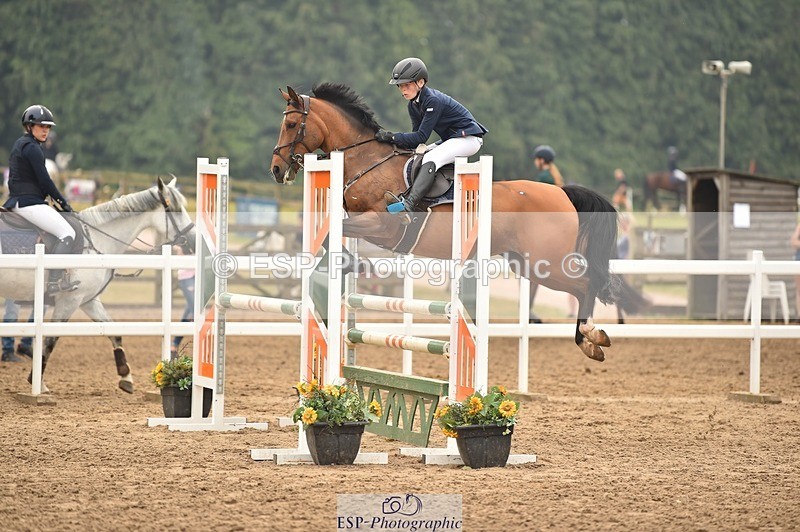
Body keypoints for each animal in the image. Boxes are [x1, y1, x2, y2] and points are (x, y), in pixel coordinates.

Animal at [0, 178, 195, 393]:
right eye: (176, 209)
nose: (193, 240)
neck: (96, 238)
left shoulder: (88, 300)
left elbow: (114, 333)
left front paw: (126, 377)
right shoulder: (69, 301)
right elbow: (50, 340)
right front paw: (38, 383)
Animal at [270, 83, 626, 362]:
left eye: (291, 123)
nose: (276, 169)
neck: (366, 160)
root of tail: (562, 193)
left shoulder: (382, 227)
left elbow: (336, 231)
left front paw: (351, 263)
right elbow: (331, 233)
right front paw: (350, 264)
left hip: (547, 261)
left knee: (586, 285)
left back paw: (592, 339)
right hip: (524, 262)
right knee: (582, 286)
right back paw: (592, 339)